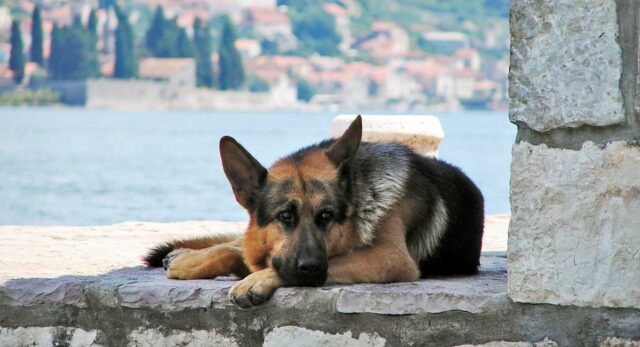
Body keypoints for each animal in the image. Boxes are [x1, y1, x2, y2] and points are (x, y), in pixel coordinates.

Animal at [145, 117, 482, 310]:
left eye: (326, 217)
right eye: (284, 217)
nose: (310, 267)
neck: (360, 196)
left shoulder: (389, 258)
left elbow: (317, 262)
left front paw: (255, 281)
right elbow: (243, 252)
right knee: (236, 243)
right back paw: (185, 256)